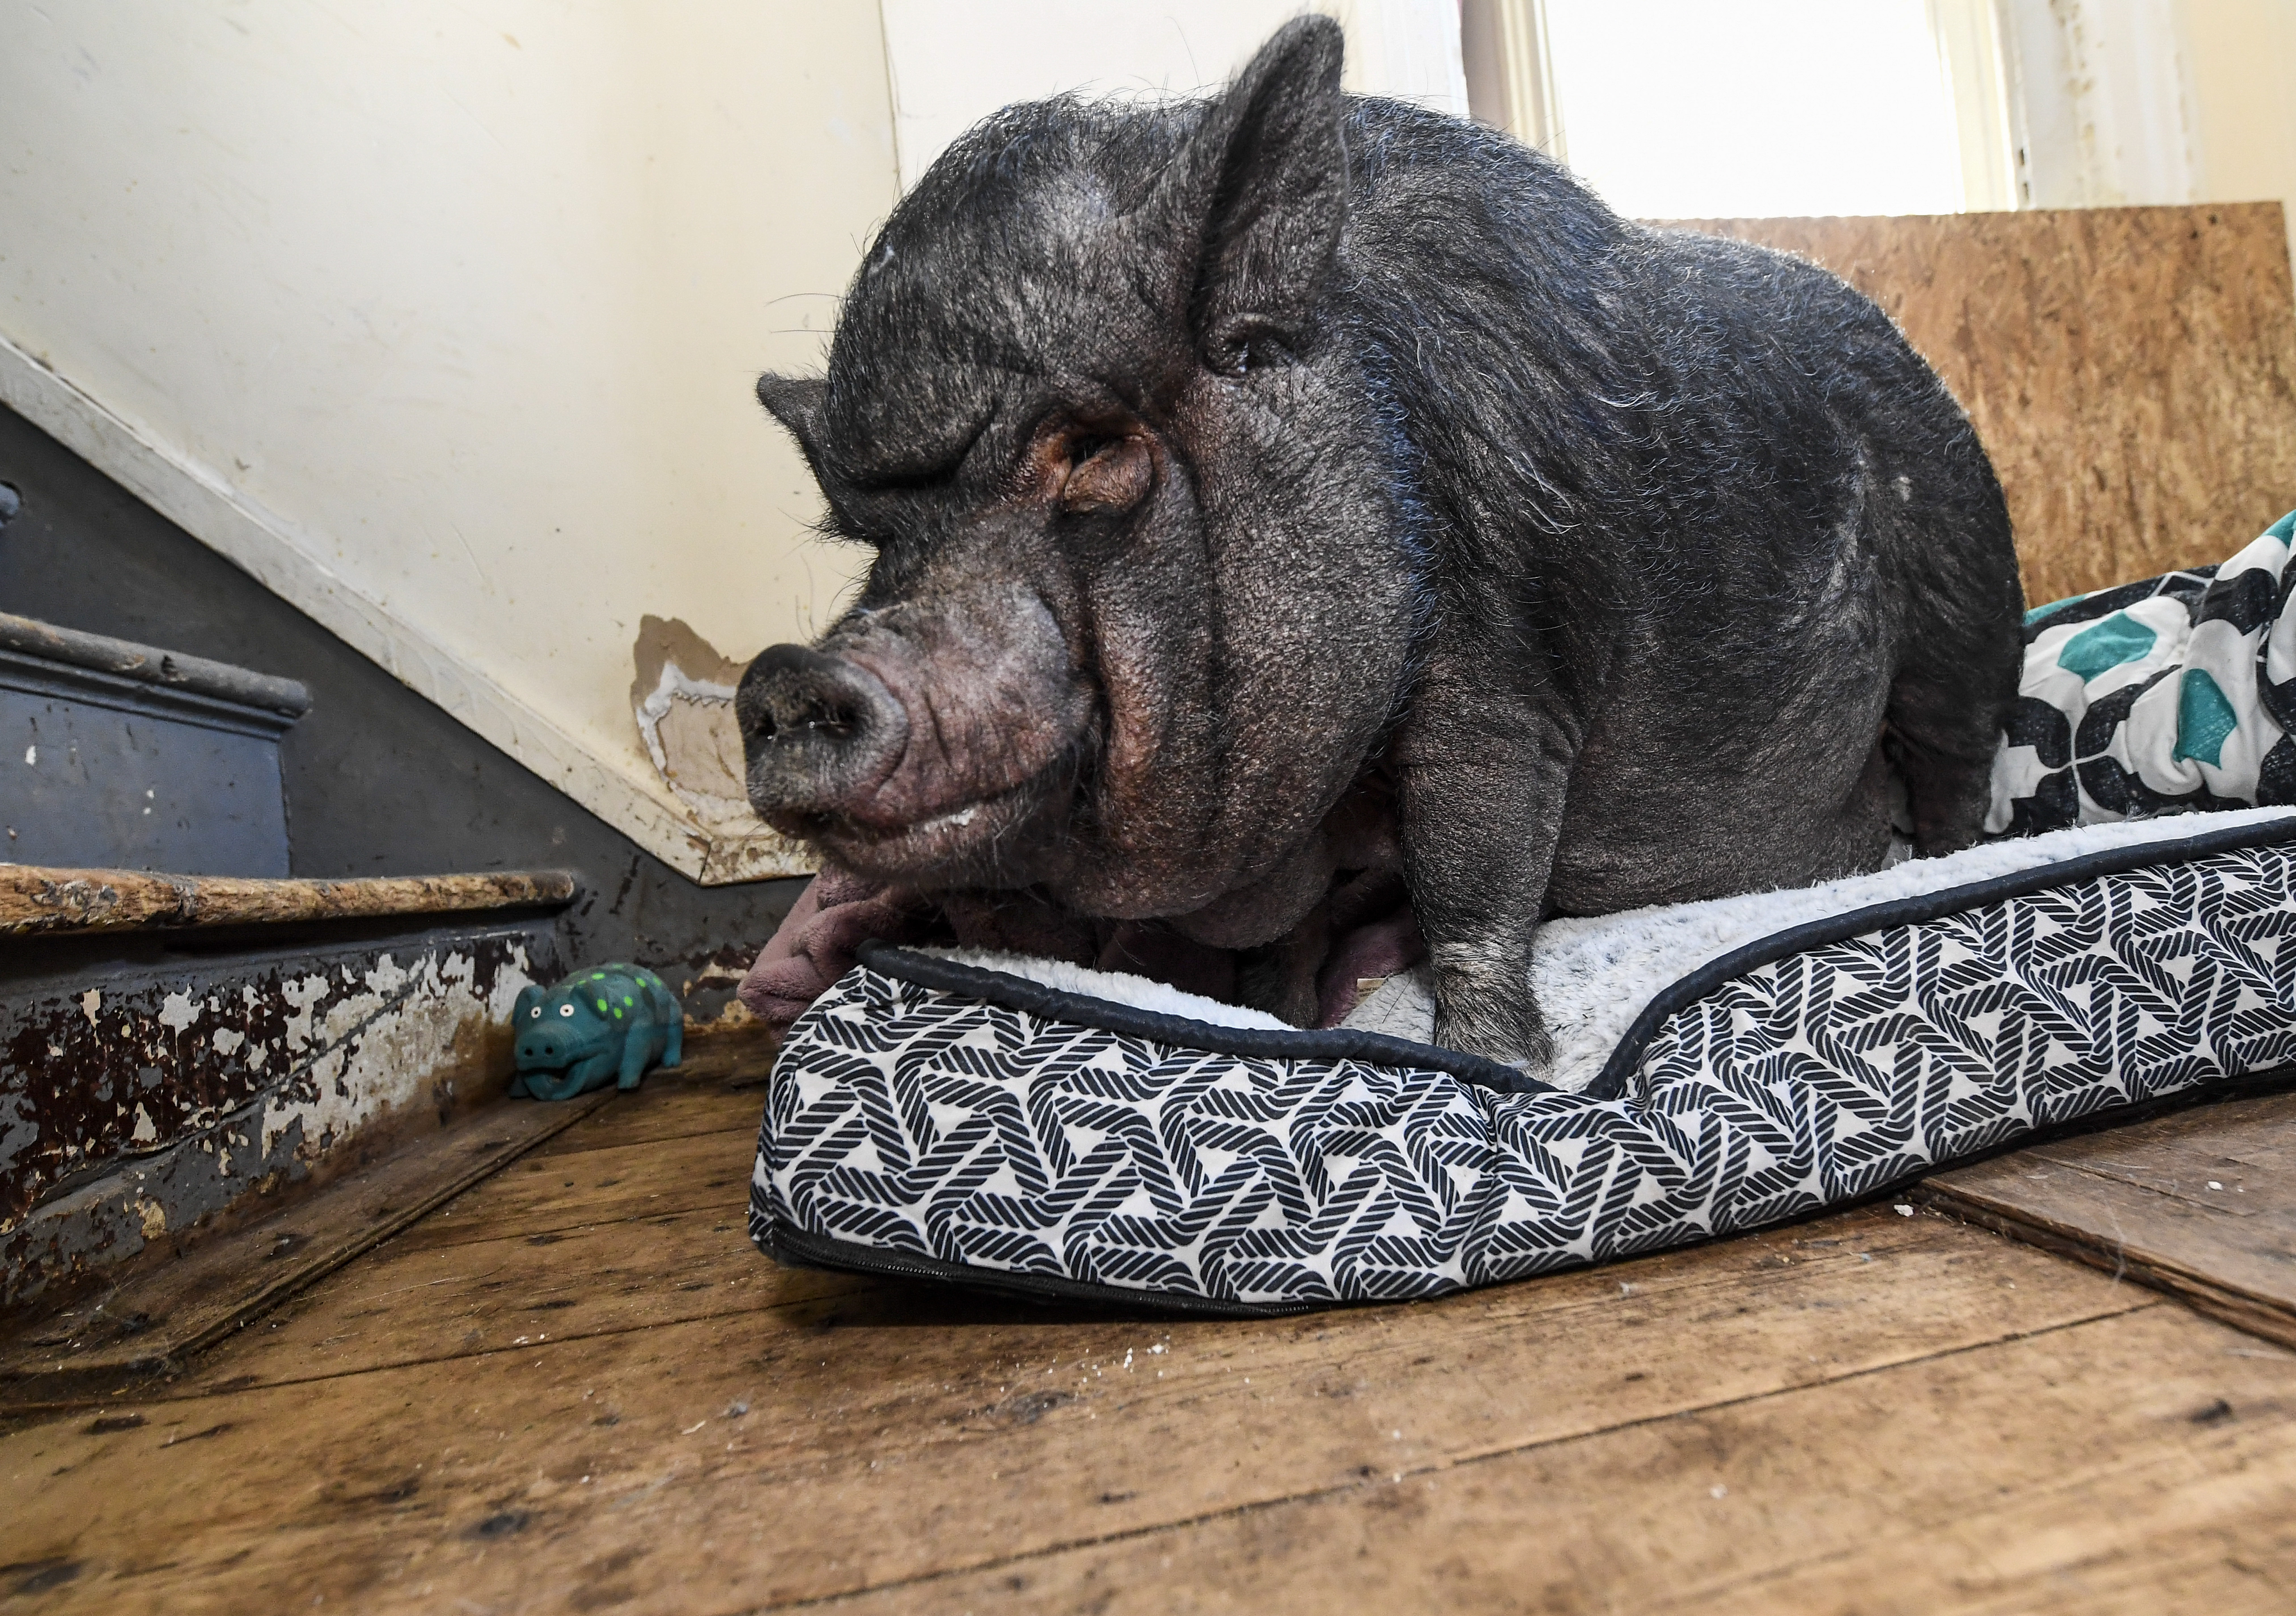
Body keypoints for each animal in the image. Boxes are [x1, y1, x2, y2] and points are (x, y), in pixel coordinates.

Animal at [735, 16, 2022, 1074]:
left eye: (1091, 447)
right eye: (870, 535)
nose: (786, 676)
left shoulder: (1507, 671)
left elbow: (1475, 872)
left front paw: (1498, 1065)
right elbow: (1280, 951)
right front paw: (1280, 1017)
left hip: (1966, 613)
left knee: (1957, 776)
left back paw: (1931, 865)